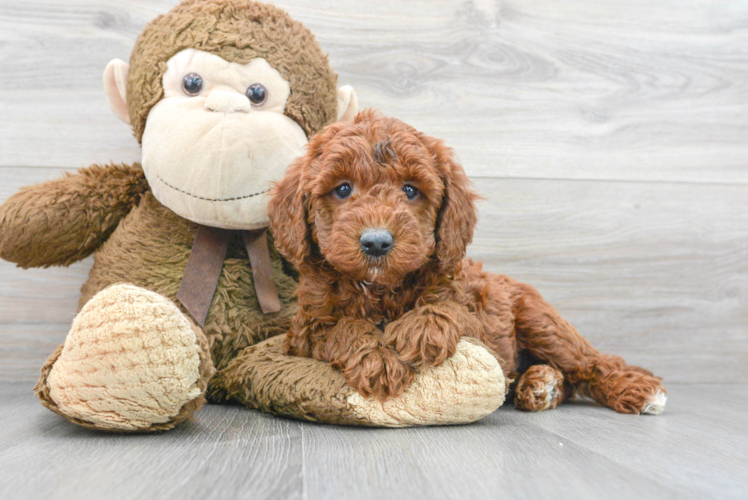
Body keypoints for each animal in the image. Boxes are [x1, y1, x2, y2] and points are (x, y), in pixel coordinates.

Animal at [268, 111, 668, 416]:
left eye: (410, 190)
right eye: (342, 189)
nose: (377, 241)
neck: (380, 288)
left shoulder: (476, 313)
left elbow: (453, 308)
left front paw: (421, 329)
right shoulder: (306, 330)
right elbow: (342, 329)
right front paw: (378, 359)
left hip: (540, 320)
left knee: (591, 363)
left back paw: (635, 389)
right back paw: (542, 385)